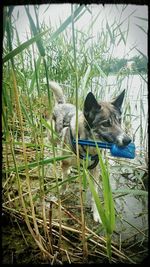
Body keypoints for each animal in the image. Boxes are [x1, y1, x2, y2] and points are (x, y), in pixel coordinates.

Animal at [48, 80, 131, 223]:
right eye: (106, 124)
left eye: (120, 120)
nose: (128, 140)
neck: (87, 145)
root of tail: (62, 103)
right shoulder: (66, 161)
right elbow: (64, 180)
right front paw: (62, 190)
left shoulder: (95, 171)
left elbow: (94, 196)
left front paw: (97, 213)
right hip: (52, 138)